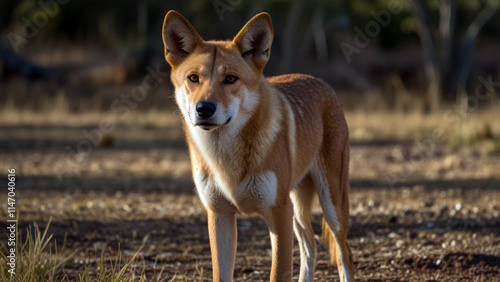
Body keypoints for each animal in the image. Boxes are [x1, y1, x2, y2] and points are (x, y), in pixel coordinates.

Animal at [162, 9, 354, 280]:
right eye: (194, 78)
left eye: (230, 79)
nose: (204, 109)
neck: (225, 159)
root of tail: (321, 82)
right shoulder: (219, 214)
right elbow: (221, 274)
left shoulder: (278, 213)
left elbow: (279, 272)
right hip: (297, 208)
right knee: (310, 245)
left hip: (330, 206)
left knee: (344, 253)